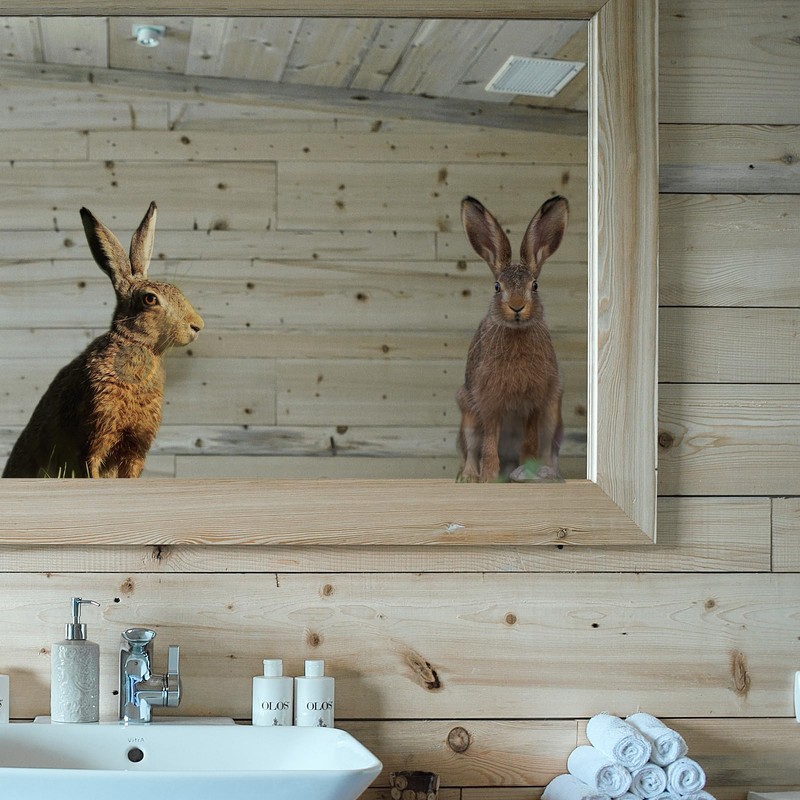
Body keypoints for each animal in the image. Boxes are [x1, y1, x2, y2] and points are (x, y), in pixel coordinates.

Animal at [2, 202, 204, 479]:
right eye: (150, 299)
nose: (197, 325)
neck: (136, 346)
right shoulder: (95, 434)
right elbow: (92, 468)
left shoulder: (135, 448)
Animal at [456, 194, 568, 483]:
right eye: (497, 287)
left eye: (534, 286)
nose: (517, 307)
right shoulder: (489, 402)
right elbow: (488, 445)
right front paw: (488, 478)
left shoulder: (535, 404)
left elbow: (529, 443)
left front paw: (526, 469)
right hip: (468, 415)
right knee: (471, 449)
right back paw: (469, 477)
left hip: (553, 418)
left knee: (550, 450)